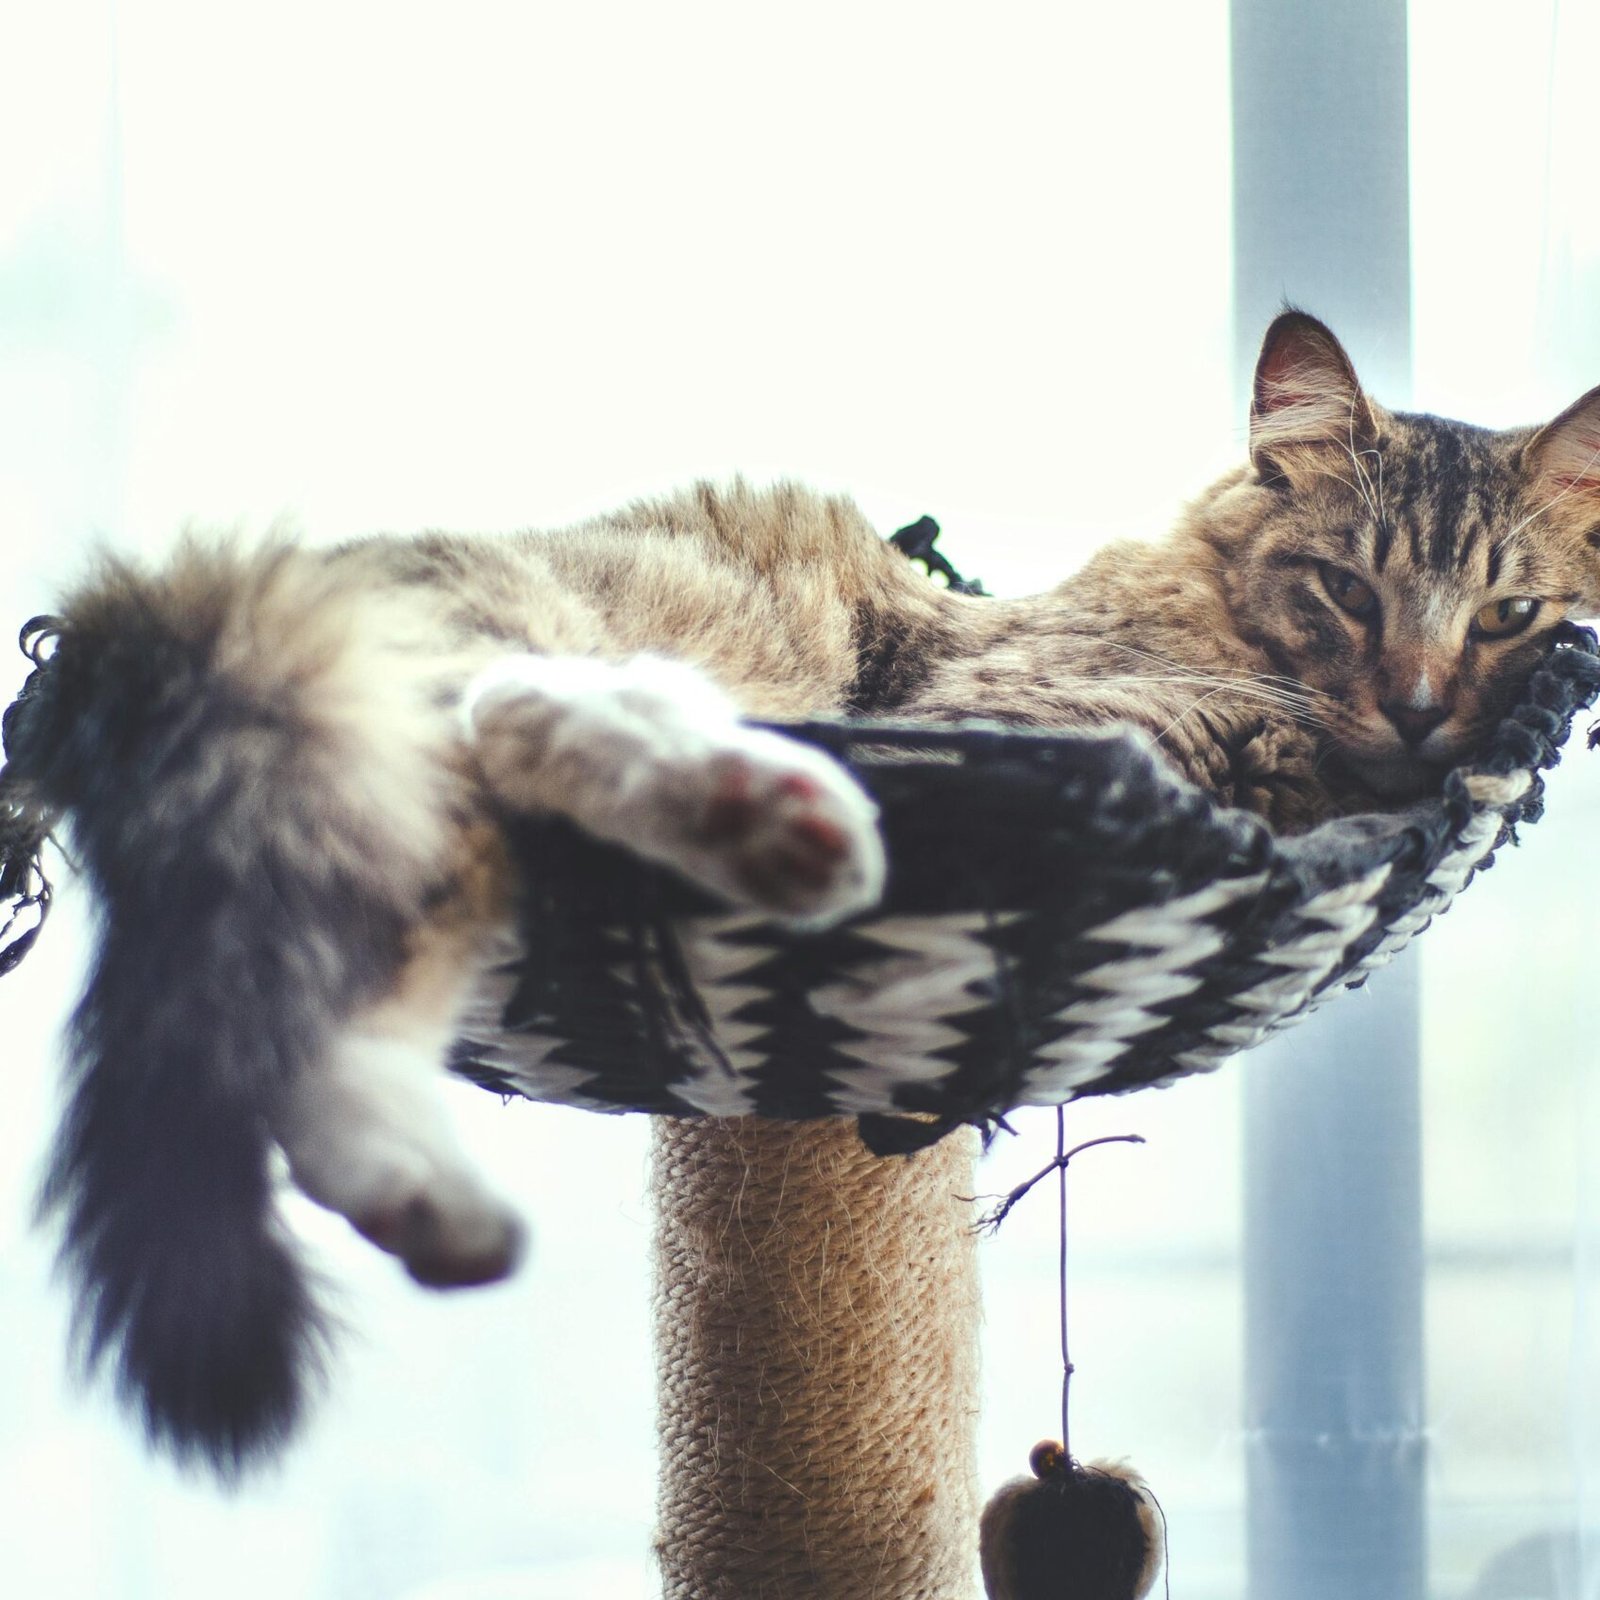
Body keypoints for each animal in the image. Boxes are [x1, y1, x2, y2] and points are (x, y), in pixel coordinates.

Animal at [3, 305, 1600, 1465]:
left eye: (1510, 614)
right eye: (1346, 587)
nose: (1420, 712)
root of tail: (153, 604)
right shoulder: (1024, 712)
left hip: (410, 836)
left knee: (332, 1045)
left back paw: (438, 1199)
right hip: (489, 663)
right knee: (515, 714)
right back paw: (775, 816)